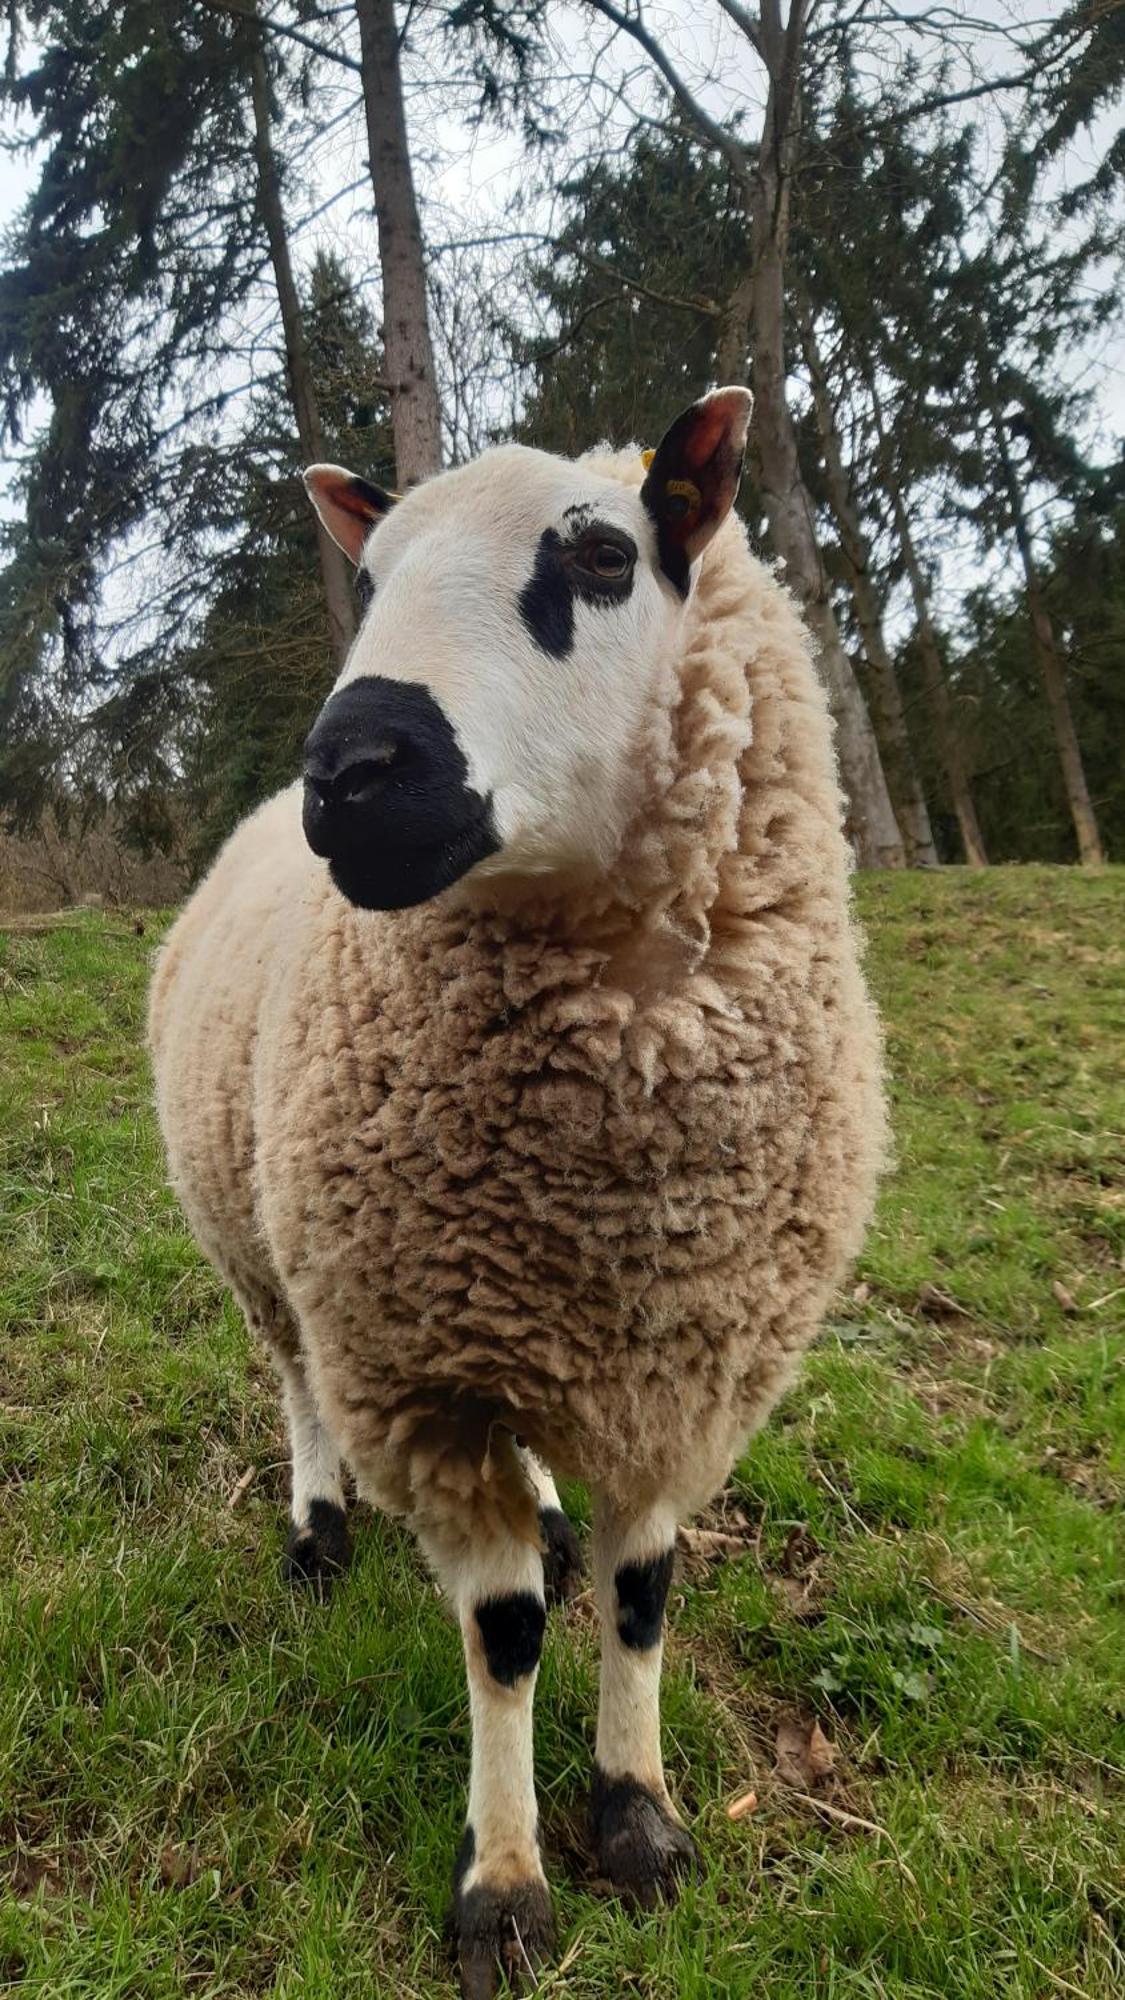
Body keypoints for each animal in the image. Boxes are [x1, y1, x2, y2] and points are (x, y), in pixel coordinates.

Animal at [149, 382, 880, 1992]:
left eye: (604, 556)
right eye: (366, 582)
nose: (350, 776)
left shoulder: (688, 1363)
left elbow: (640, 1594)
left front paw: (640, 1815)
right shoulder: (422, 1376)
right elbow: (502, 1631)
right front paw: (505, 1884)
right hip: (270, 1251)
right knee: (294, 1377)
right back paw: (317, 1528)